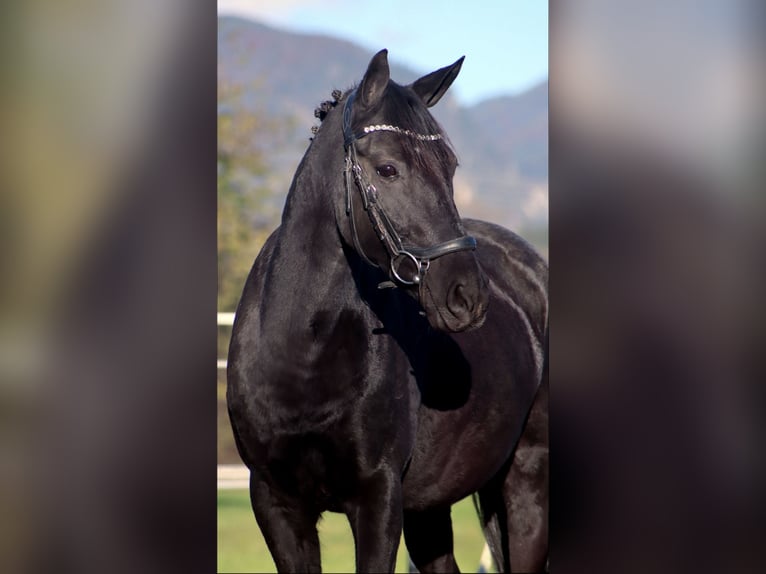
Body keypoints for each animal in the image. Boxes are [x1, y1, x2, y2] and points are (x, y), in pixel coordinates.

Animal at [227, 49, 548, 573]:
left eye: (450, 166)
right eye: (387, 169)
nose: (465, 294)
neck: (302, 356)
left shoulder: (378, 500)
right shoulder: (276, 504)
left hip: (526, 479)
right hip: (432, 507)